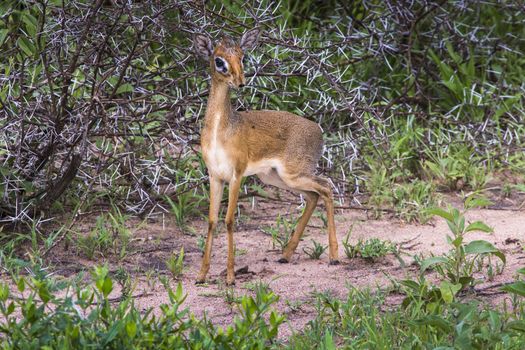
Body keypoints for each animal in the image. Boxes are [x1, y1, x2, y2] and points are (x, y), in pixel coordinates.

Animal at [194, 27, 338, 284]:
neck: (221, 131)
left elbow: (229, 221)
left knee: (326, 187)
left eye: (242, 57)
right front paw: (201, 275)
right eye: (219, 60)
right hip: (276, 178)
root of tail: (318, 130)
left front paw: (230, 277)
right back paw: (285, 255)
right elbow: (212, 221)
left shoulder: (236, 175)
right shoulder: (214, 176)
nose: (240, 82)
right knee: (314, 196)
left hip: (293, 174)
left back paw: (334, 257)